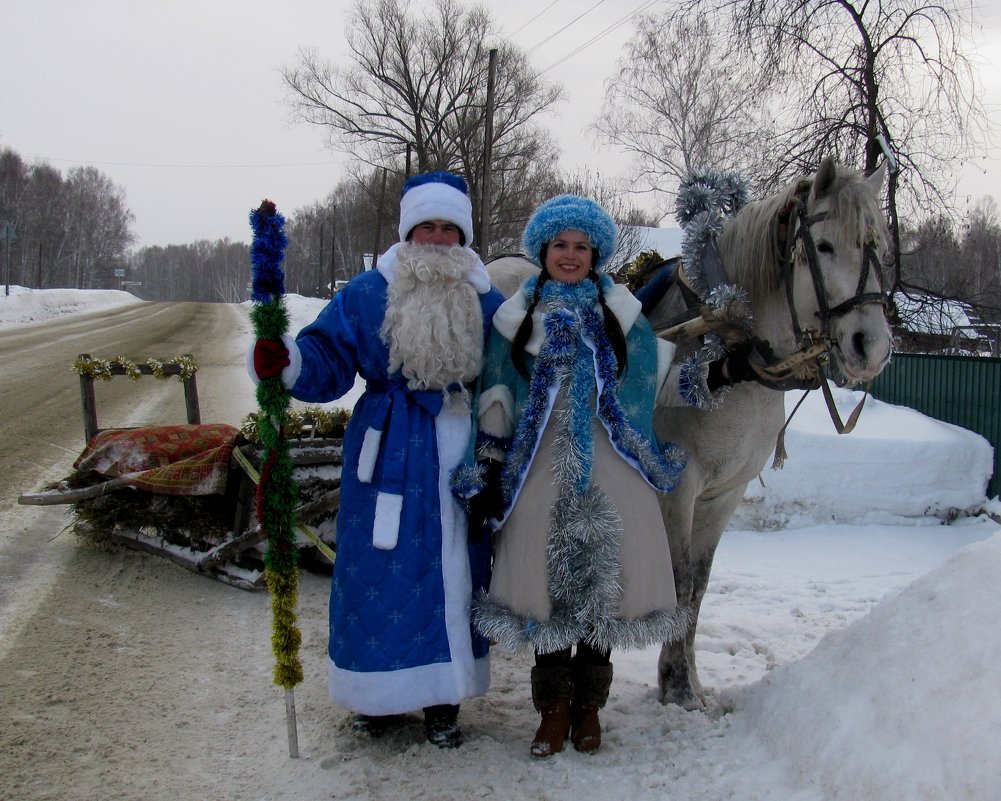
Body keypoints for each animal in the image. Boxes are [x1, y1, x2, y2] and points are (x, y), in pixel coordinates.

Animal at [484, 155, 892, 708]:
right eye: (825, 246)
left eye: (879, 247)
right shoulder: (678, 490)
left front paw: (689, 682)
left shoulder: (725, 494)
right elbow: (678, 582)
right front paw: (675, 683)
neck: (724, 335)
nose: (871, 345)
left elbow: (698, 584)